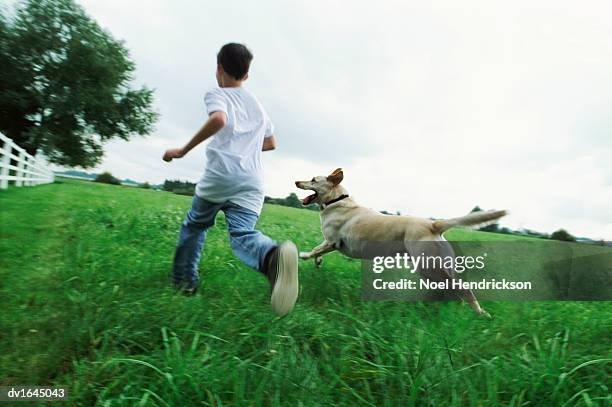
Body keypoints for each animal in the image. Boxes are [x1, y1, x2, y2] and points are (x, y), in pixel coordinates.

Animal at [296, 167, 506, 318]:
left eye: (313, 180)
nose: (296, 181)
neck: (336, 200)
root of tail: (434, 224)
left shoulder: (332, 241)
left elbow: (315, 249)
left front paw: (303, 255)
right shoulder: (331, 244)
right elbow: (319, 252)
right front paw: (318, 262)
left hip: (430, 266)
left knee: (462, 289)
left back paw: (480, 313)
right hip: (434, 269)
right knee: (452, 290)